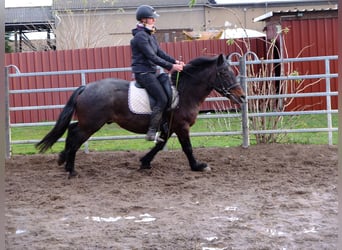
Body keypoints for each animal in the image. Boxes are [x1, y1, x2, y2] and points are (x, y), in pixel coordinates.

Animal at [36, 53, 246, 177]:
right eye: (225, 73)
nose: (243, 97)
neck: (184, 92)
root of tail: (85, 87)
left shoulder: (169, 126)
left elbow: (159, 146)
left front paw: (144, 162)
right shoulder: (181, 126)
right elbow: (187, 148)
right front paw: (198, 166)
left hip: (88, 123)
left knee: (72, 131)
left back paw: (64, 161)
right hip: (92, 124)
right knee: (76, 137)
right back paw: (70, 169)